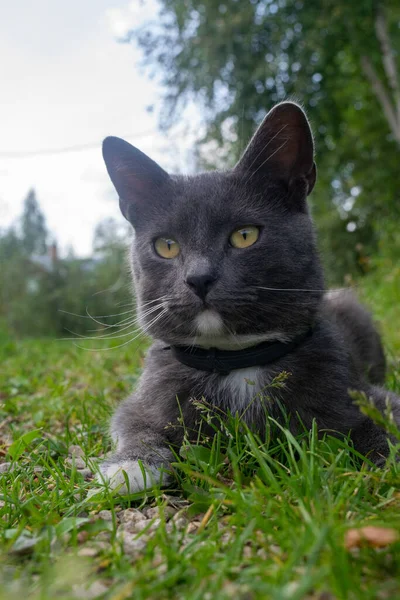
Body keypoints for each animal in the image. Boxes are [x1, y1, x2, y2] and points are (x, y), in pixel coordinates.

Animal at [100, 101, 400, 492]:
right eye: (166, 245)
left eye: (245, 235)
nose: (199, 278)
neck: (237, 361)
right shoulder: (148, 396)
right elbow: (132, 421)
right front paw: (131, 464)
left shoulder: (354, 389)